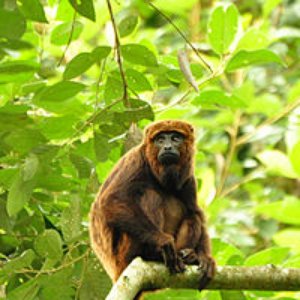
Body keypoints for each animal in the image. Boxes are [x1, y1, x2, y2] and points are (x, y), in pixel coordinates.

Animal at [89, 119, 216, 288]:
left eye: (175, 138)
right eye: (160, 139)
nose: (167, 147)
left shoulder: (189, 178)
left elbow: (196, 213)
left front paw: (204, 257)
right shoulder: (136, 160)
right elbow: (111, 201)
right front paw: (162, 240)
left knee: (192, 218)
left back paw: (188, 256)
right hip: (124, 254)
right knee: (151, 196)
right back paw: (153, 253)